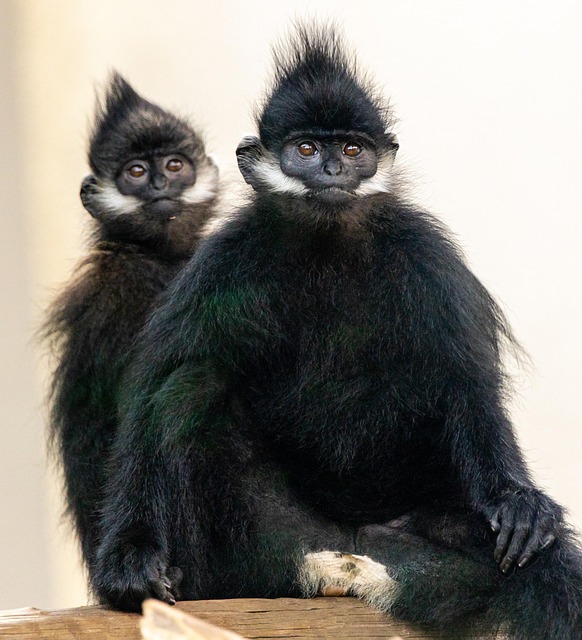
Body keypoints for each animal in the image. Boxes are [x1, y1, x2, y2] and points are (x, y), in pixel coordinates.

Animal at [92, 27, 582, 638]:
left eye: (352, 151)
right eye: (306, 150)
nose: (332, 173)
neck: (326, 246)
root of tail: (347, 548)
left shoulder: (424, 257)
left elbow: (466, 384)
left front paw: (518, 501)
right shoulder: (222, 264)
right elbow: (155, 391)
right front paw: (128, 557)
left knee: (546, 568)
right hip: (266, 542)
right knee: (191, 386)